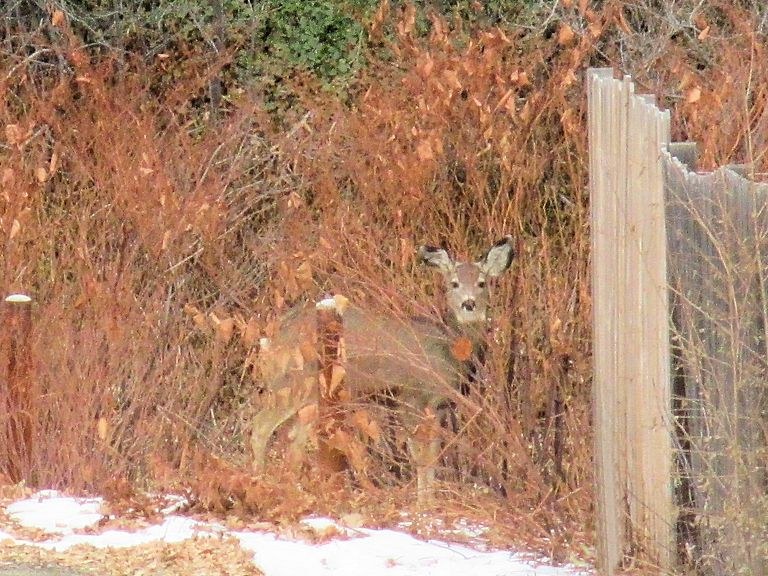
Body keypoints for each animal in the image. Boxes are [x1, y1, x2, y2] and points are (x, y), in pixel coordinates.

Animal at [254, 236, 516, 502]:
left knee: (293, 439)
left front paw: (429, 500)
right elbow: (420, 455)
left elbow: (433, 454)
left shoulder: (440, 405)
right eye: (454, 283)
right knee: (261, 426)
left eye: (482, 283)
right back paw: (258, 479)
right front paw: (422, 502)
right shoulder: (410, 398)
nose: (469, 304)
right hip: (293, 381)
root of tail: (275, 332)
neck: (450, 349)